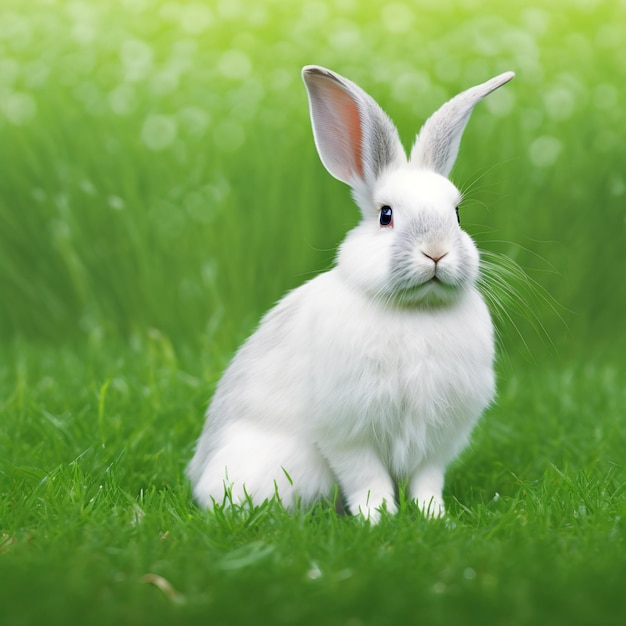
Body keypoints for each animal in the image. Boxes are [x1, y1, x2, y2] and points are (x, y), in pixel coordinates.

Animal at [186, 66, 512, 520]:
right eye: (385, 215)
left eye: (457, 214)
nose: (436, 251)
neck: (415, 311)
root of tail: (200, 474)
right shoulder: (348, 432)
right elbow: (366, 477)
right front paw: (379, 519)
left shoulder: (434, 440)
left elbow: (427, 481)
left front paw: (435, 518)